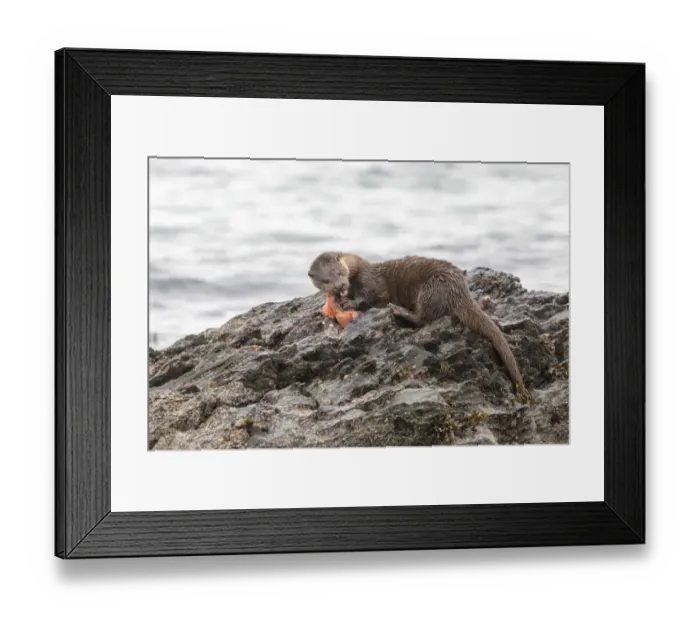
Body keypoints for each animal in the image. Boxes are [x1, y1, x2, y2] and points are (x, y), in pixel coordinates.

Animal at [308, 252, 523, 390]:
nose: (341, 286)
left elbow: (372, 298)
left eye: (339, 272)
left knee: (423, 318)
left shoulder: (370, 282)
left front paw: (349, 302)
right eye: (326, 281)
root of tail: (460, 290)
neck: (358, 269)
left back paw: (399, 310)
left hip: (431, 288)